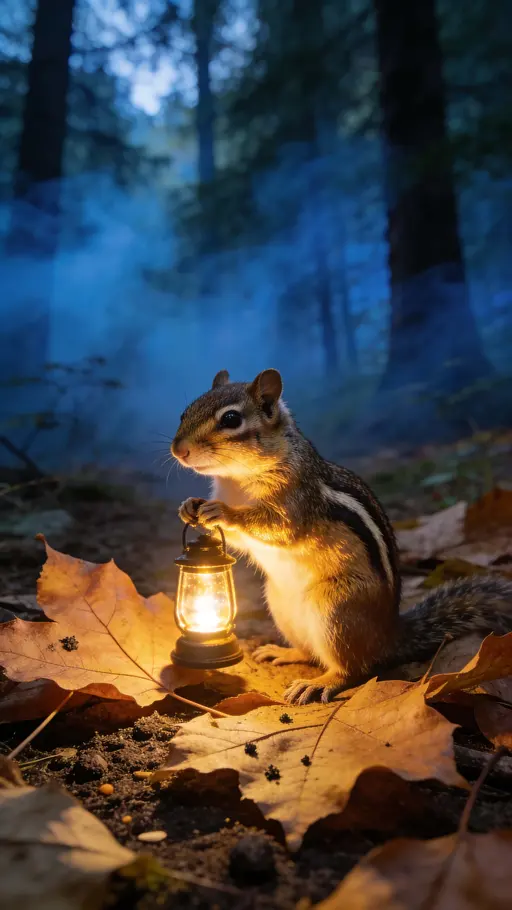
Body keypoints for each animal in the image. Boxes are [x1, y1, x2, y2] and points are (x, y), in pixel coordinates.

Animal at [171, 368, 512, 705]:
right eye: (185, 412)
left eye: (231, 419)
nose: (178, 450)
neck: (235, 478)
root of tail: (389, 635)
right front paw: (189, 507)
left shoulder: (298, 501)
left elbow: (278, 527)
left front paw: (225, 512)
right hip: (282, 607)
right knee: (311, 654)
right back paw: (284, 652)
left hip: (336, 612)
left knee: (353, 670)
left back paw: (319, 684)